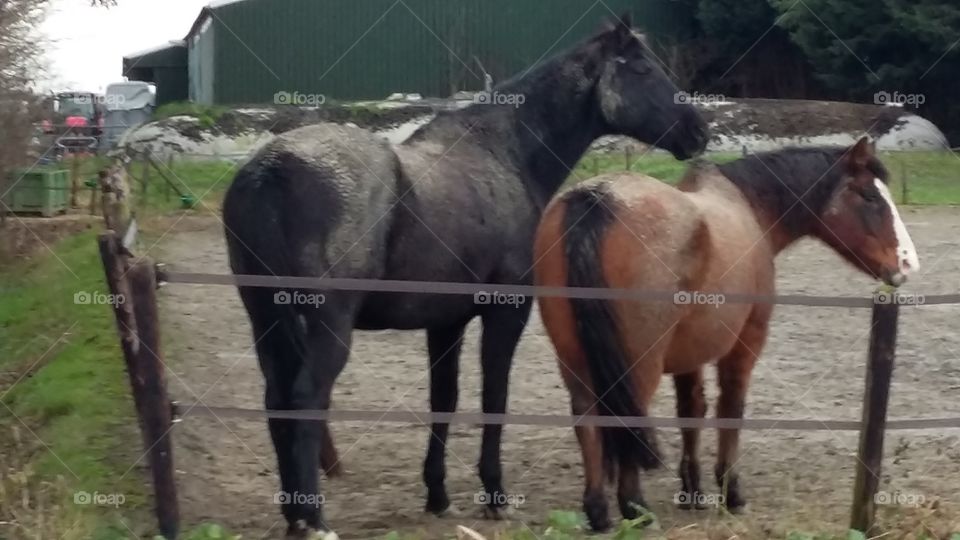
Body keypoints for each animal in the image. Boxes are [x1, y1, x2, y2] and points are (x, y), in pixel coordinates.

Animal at [222, 14, 709, 538]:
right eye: (641, 68)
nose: (699, 132)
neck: (503, 152)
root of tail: (271, 168)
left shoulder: (445, 322)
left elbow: (445, 399)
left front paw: (437, 494)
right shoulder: (506, 312)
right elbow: (494, 395)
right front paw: (494, 494)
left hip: (266, 320)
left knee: (277, 401)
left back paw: (295, 515)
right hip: (327, 327)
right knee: (306, 400)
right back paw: (314, 518)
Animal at [533, 138, 918, 531]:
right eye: (868, 196)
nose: (907, 263)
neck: (746, 208)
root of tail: (597, 198)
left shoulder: (689, 355)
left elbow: (692, 410)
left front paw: (692, 490)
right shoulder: (744, 345)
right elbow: (730, 409)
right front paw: (730, 491)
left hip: (575, 359)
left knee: (587, 419)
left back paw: (598, 511)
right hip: (639, 366)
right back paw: (636, 509)